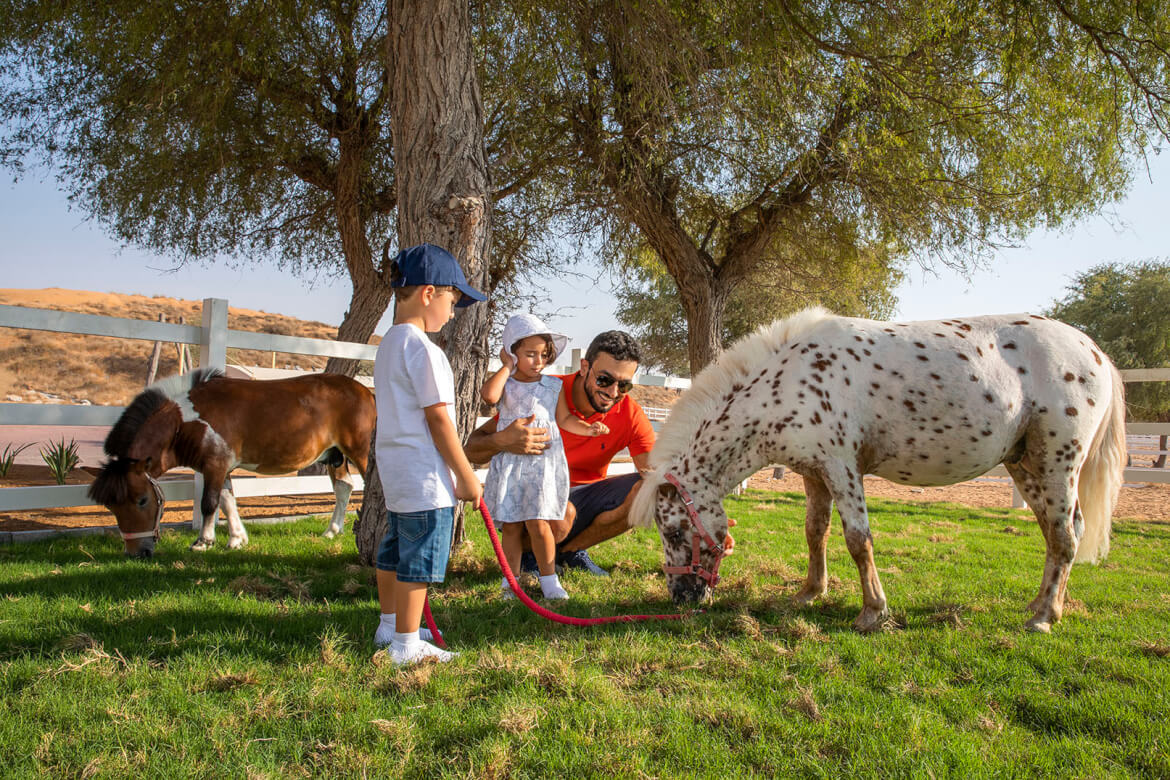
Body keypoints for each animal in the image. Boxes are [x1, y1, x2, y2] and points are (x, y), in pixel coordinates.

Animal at [89, 369, 376, 558]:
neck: (186, 422)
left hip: (360, 452)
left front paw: (203, 542)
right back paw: (332, 531)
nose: (136, 552)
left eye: (142, 501)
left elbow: (209, 503)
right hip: (335, 456)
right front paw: (237, 539)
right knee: (344, 488)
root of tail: (367, 393)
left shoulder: (215, 465)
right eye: (111, 507)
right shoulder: (221, 467)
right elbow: (228, 501)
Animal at [636, 306, 1127, 636]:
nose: (681, 597)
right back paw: (1043, 604)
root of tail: (1096, 353)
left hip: (1057, 462)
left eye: (675, 531)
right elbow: (815, 532)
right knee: (1061, 532)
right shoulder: (814, 473)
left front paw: (872, 612)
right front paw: (809, 593)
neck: (787, 382)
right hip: (1025, 465)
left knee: (1064, 536)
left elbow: (859, 540)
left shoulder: (842, 468)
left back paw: (1043, 619)